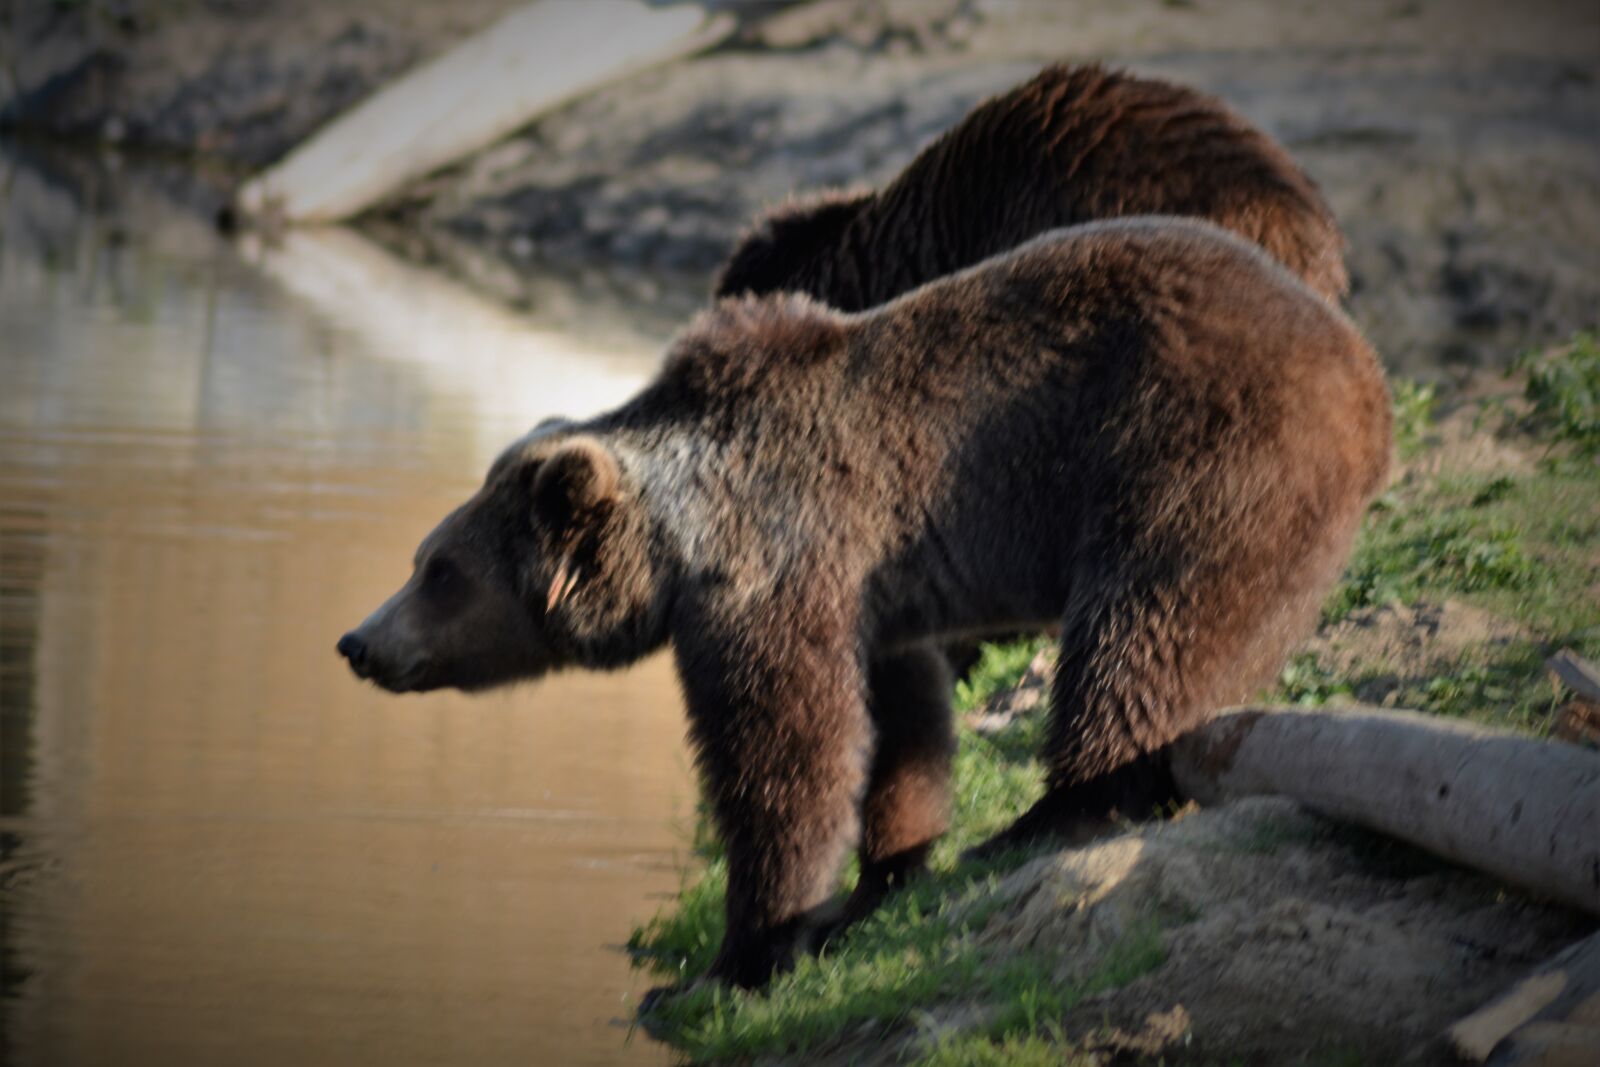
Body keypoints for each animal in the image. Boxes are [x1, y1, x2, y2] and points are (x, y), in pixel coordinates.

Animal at [337, 217, 1392, 993]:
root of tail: (1365, 371)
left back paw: (1048, 816)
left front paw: (739, 952)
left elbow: (785, 754)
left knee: (1142, 632)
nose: (356, 639)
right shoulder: (867, 597)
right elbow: (898, 726)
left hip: (1196, 449)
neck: (682, 536)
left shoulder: (772, 572)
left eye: (438, 569)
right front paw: (882, 877)